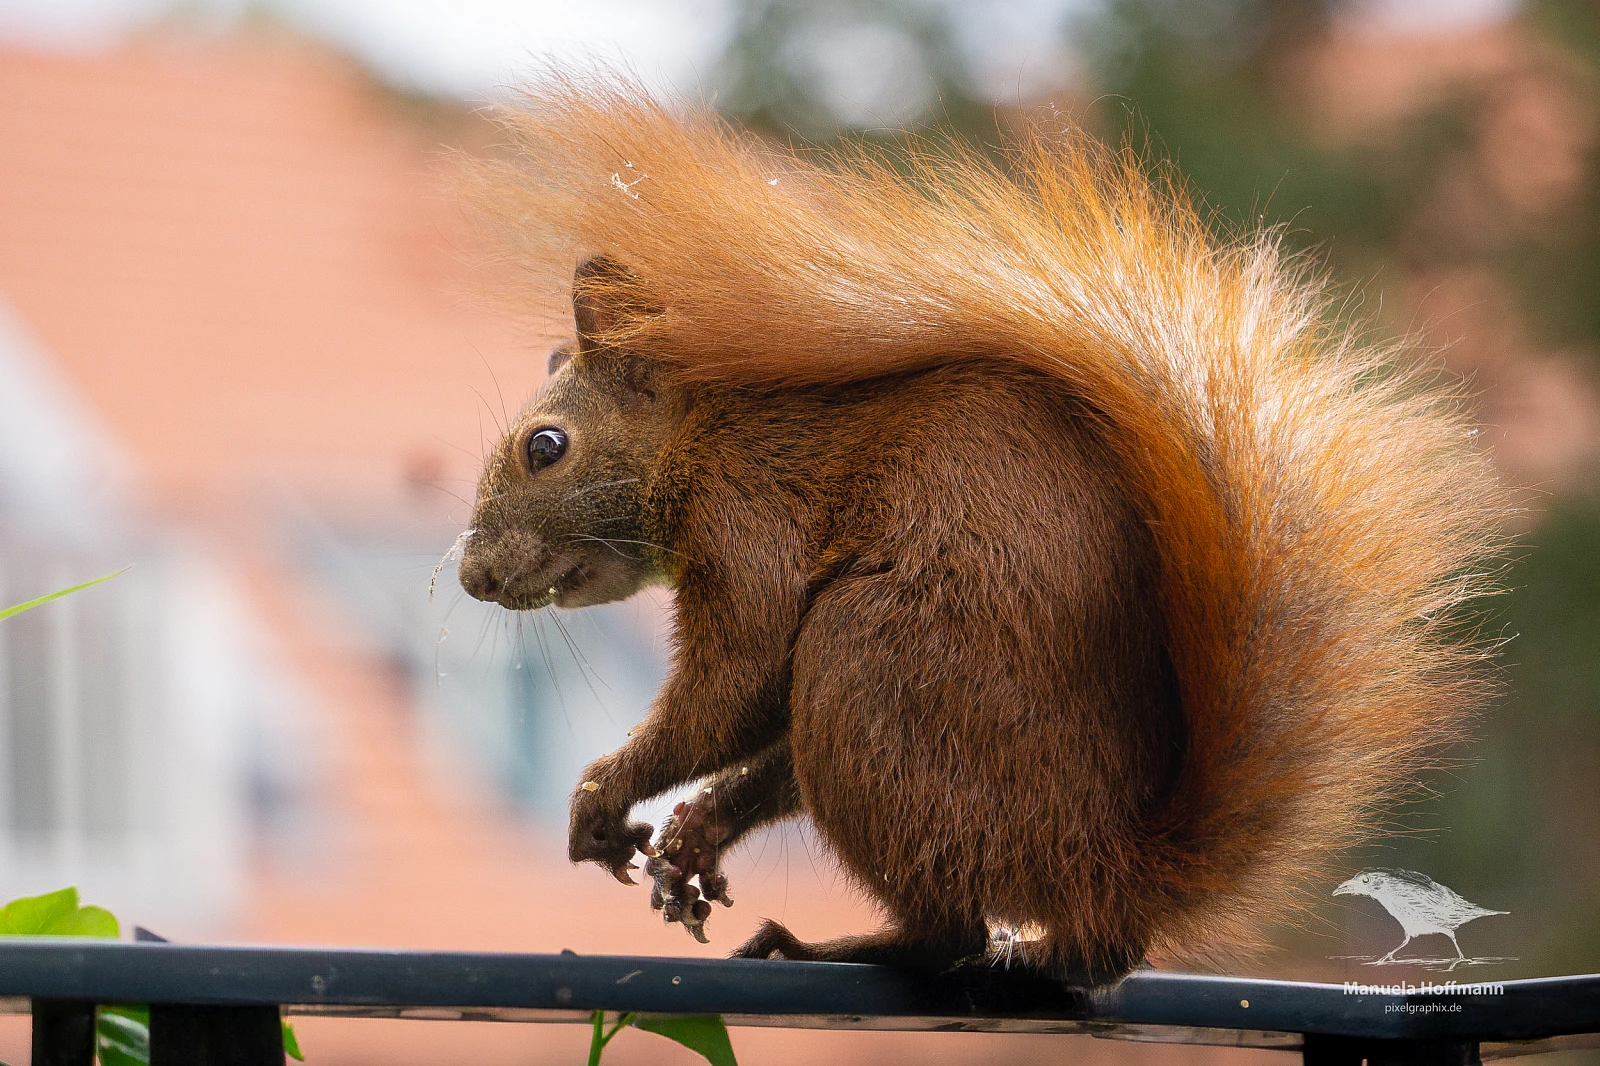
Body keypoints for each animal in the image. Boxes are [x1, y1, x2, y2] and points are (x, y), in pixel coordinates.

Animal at [454, 73, 1507, 981]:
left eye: (546, 447)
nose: (472, 579)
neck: (706, 434)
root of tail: (1109, 875)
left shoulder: (751, 518)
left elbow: (738, 682)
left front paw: (606, 791)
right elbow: (760, 728)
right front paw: (691, 835)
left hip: (871, 668)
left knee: (952, 933)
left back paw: (832, 946)